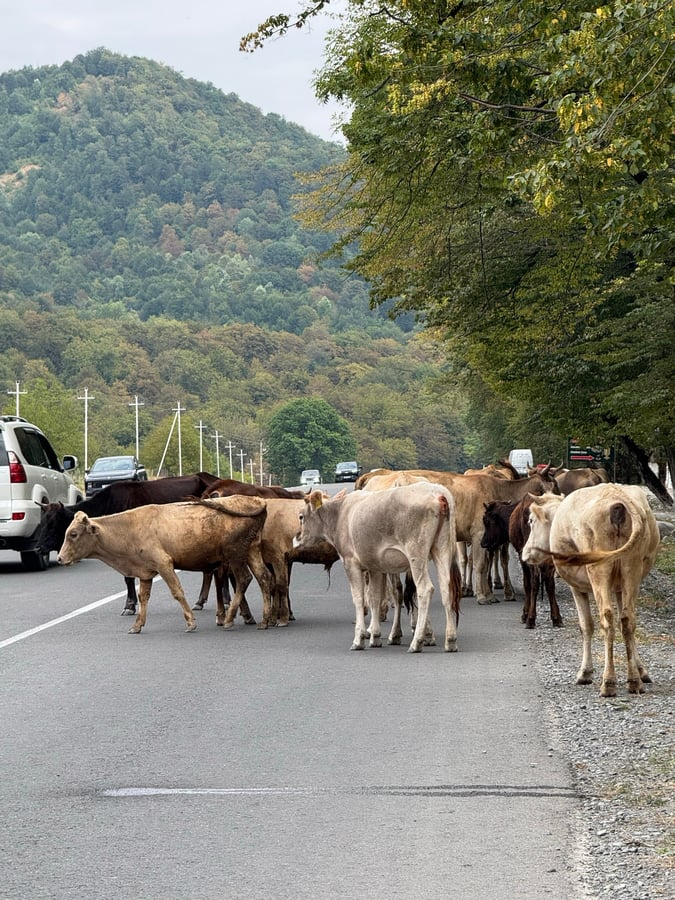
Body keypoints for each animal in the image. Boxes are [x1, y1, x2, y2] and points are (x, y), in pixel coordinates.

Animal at [35, 473, 221, 616]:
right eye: (41, 522)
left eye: (52, 523)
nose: (37, 548)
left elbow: (128, 577)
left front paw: (129, 606)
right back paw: (200, 601)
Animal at [56, 496, 274, 634]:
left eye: (73, 534)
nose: (59, 558)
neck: (130, 528)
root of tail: (256, 500)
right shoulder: (145, 572)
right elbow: (143, 597)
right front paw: (137, 625)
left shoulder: (164, 564)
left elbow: (177, 592)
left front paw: (190, 622)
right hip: (252, 551)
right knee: (264, 578)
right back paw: (264, 620)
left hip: (235, 555)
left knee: (244, 579)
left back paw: (229, 619)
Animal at [294, 483, 462, 653]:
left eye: (301, 516)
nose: (296, 538)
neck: (340, 514)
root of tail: (437, 491)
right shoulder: (374, 566)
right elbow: (374, 597)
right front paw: (375, 636)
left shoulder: (351, 563)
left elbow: (359, 598)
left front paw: (359, 639)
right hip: (442, 549)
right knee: (446, 589)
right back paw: (450, 640)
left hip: (417, 554)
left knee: (425, 589)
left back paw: (417, 642)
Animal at [522, 484, 660, 696]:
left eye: (530, 521)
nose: (525, 553)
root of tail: (619, 502)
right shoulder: (620, 588)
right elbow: (626, 624)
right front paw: (640, 670)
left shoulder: (576, 586)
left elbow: (586, 625)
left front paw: (585, 673)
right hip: (632, 567)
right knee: (628, 619)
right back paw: (634, 681)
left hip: (598, 569)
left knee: (607, 618)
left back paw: (608, 682)